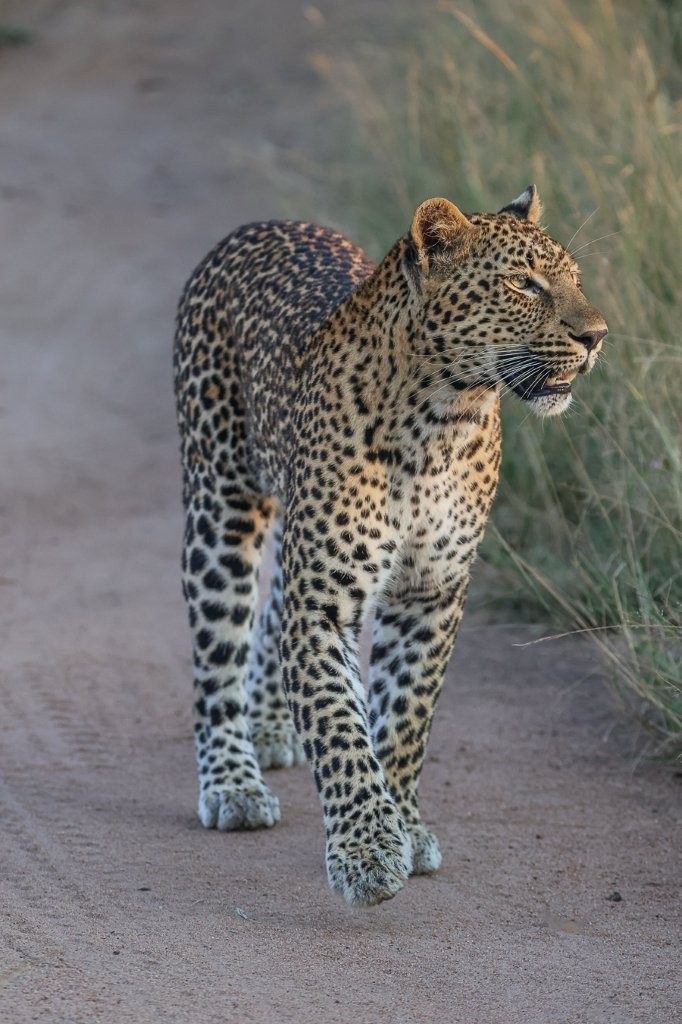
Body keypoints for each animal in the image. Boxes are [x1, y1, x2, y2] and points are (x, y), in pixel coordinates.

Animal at [173, 185, 608, 906]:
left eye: (574, 279)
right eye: (524, 283)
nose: (596, 336)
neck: (444, 421)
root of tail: (260, 224)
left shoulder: (430, 594)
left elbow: (405, 718)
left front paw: (403, 824)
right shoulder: (322, 606)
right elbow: (340, 724)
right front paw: (367, 852)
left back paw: (270, 726)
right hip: (222, 503)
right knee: (217, 652)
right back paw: (233, 781)